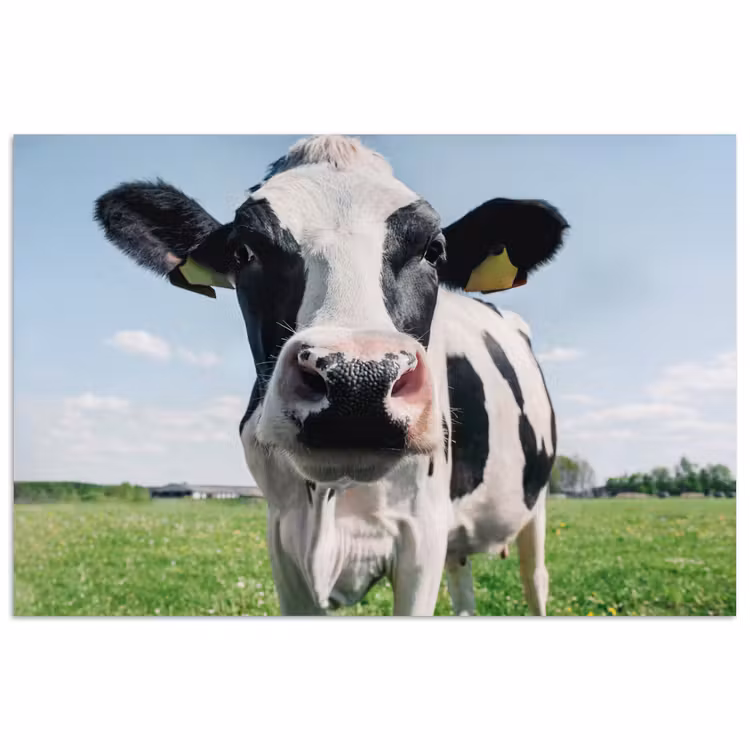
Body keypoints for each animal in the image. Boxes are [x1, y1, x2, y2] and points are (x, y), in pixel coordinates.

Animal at [94, 135, 568, 616]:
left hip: (535, 505)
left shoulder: (423, 534)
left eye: (434, 250)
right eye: (243, 251)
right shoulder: (283, 538)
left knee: (536, 578)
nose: (359, 382)